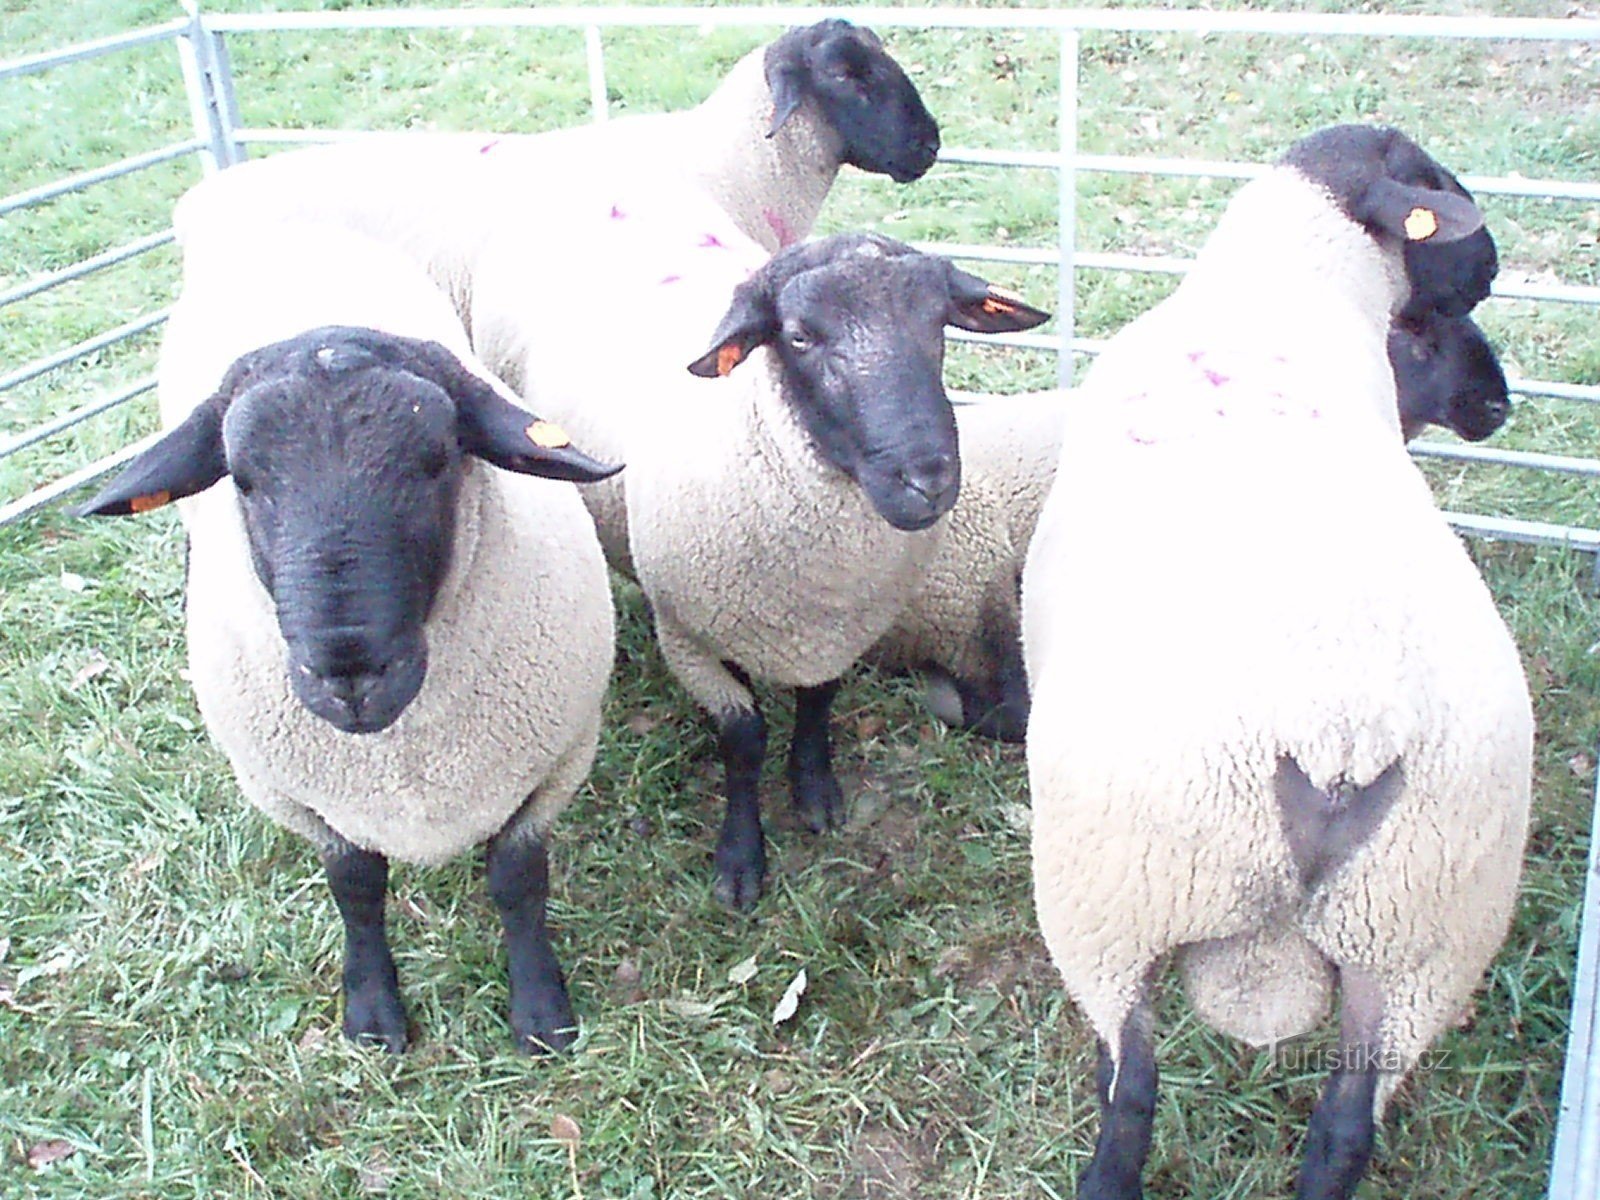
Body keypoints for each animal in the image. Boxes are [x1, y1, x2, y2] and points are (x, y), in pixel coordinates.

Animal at [78, 220, 620, 1056]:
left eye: (437, 460)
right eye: (242, 479)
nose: (350, 671)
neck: (401, 761)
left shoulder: (556, 759)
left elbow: (517, 880)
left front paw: (540, 1011)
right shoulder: (296, 797)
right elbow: (356, 888)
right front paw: (371, 1012)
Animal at [620, 232, 1049, 908]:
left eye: (939, 321)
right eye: (798, 337)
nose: (928, 480)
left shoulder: (838, 626)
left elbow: (819, 700)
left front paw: (814, 788)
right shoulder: (686, 635)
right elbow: (743, 738)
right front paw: (740, 858)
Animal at [1017, 124, 1529, 1200]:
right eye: (1432, 182)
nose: (1499, 405)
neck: (1283, 279)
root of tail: (1344, 733)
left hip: (1112, 894)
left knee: (1130, 1092)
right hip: (1422, 929)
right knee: (1343, 1128)